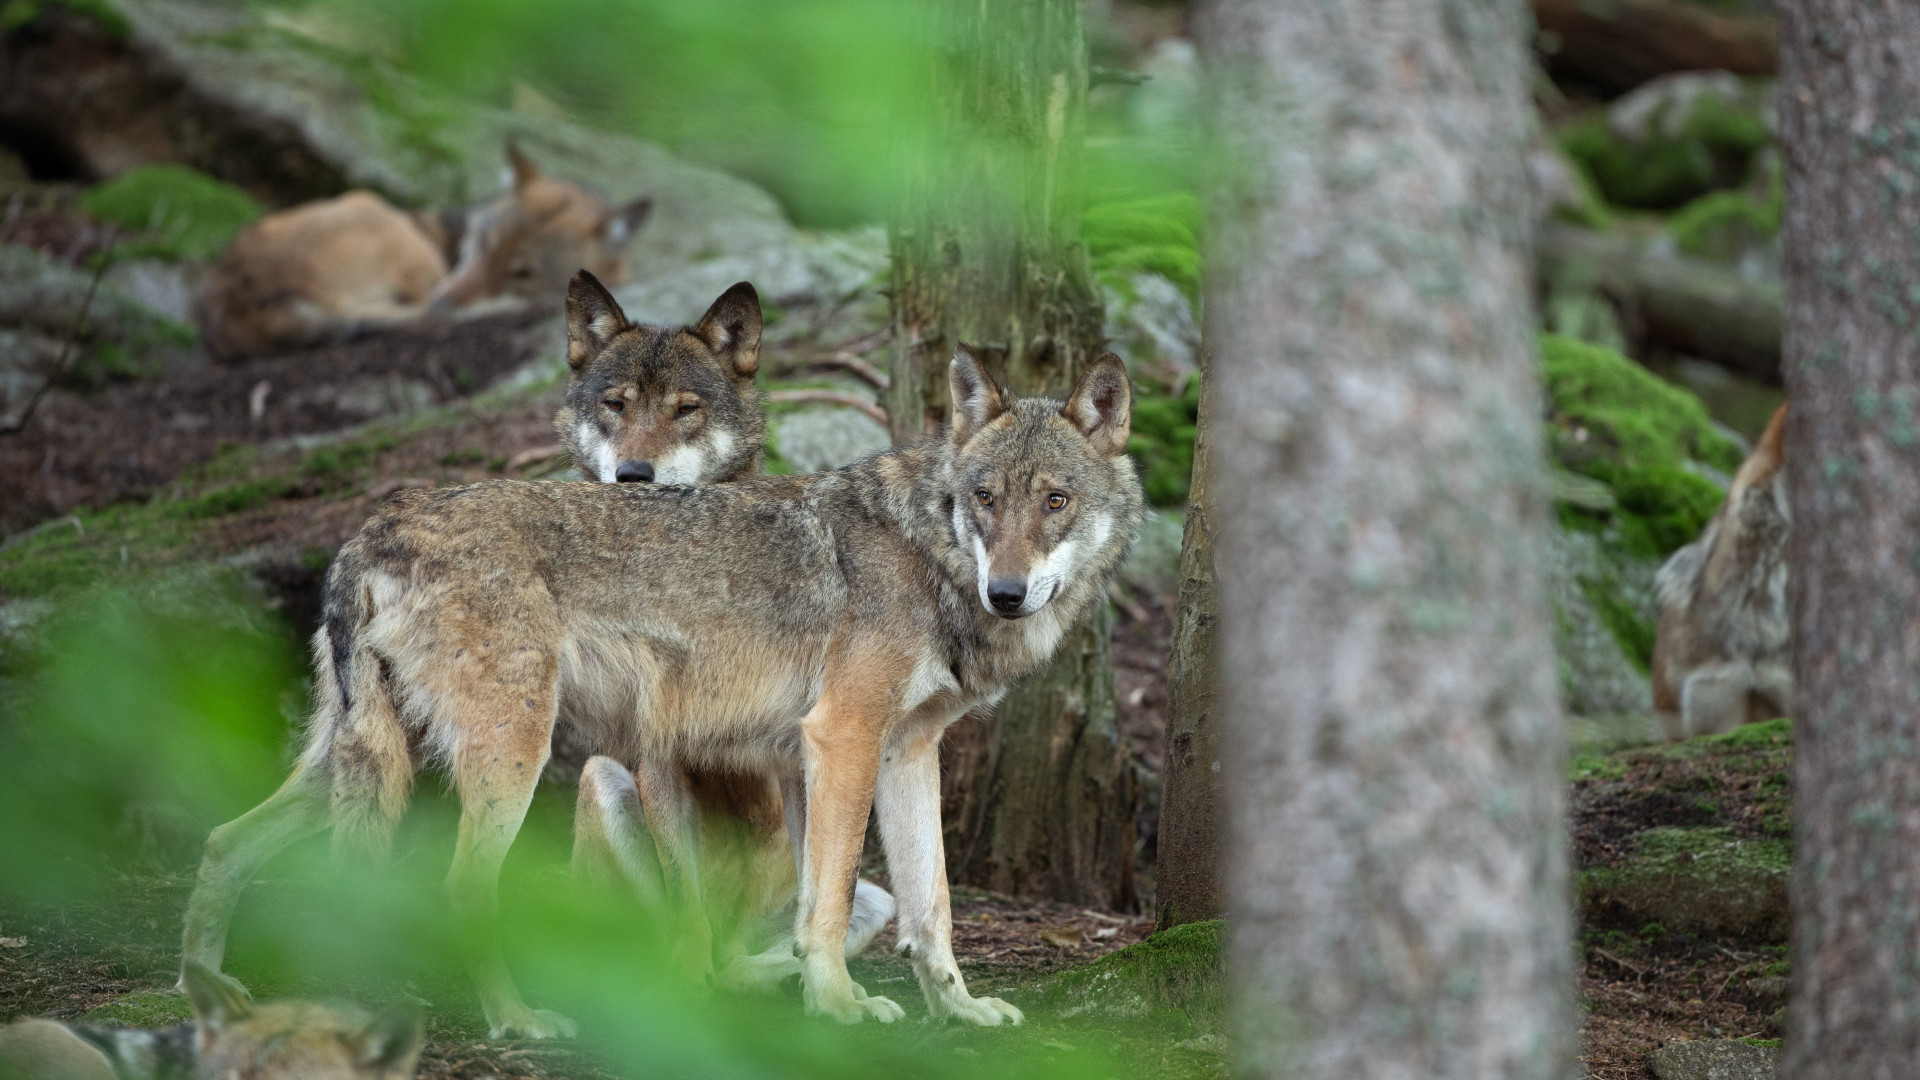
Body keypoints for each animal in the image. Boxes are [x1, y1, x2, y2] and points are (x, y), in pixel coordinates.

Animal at [178, 339, 1141, 1036]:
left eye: (1054, 501)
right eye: (985, 498)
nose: (1007, 592)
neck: (927, 553)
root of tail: (372, 528)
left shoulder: (906, 750)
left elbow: (928, 904)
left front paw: (959, 1010)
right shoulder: (840, 736)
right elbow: (828, 900)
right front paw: (836, 1005)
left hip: (366, 759)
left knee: (226, 838)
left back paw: (207, 992)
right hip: (511, 758)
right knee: (461, 890)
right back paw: (521, 1022)